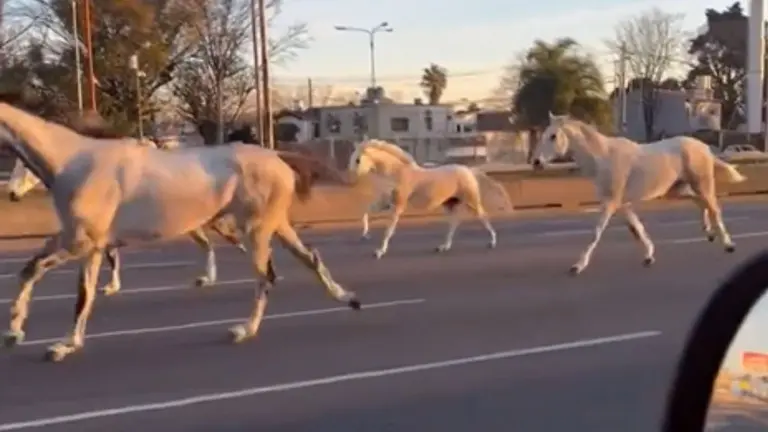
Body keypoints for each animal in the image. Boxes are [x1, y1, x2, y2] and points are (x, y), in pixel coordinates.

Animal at [6, 130, 257, 296]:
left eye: (25, 168)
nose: (11, 194)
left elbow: (110, 257)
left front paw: (111, 286)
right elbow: (111, 256)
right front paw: (111, 285)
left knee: (221, 239)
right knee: (210, 244)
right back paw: (209, 277)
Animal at [348, 139, 514, 258]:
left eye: (358, 160)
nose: (350, 179)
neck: (397, 173)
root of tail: (469, 170)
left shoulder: (398, 205)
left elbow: (388, 229)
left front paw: (379, 252)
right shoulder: (386, 202)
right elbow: (366, 212)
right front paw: (365, 235)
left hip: (471, 200)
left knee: (482, 216)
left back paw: (492, 242)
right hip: (449, 203)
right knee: (454, 223)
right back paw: (443, 247)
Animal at [531, 113, 747, 275]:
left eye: (553, 136)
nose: (536, 162)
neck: (603, 158)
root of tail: (704, 147)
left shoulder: (611, 203)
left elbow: (597, 232)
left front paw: (578, 265)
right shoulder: (622, 204)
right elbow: (637, 228)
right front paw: (649, 256)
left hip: (702, 184)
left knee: (714, 207)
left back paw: (728, 244)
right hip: (675, 190)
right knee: (700, 203)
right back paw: (709, 233)